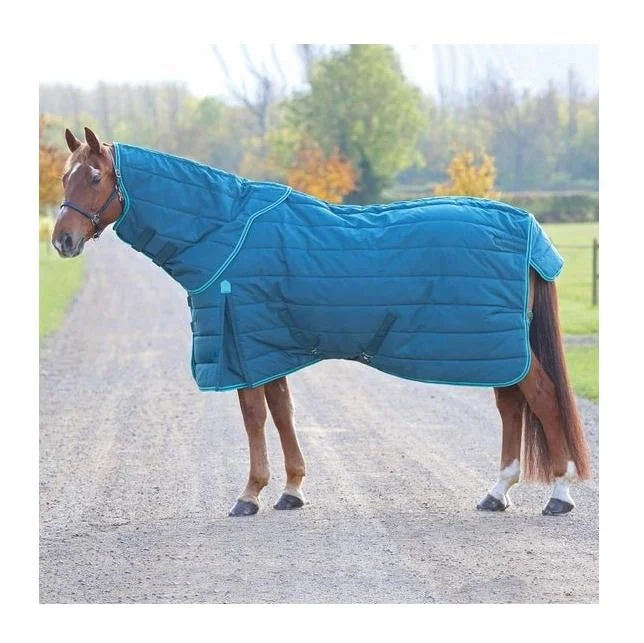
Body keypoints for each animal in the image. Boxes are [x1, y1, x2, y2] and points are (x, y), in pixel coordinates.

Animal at [51, 127, 591, 517]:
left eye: (94, 178)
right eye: (63, 178)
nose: (62, 241)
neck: (227, 231)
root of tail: (526, 225)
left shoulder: (243, 345)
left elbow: (254, 417)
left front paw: (250, 494)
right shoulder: (270, 347)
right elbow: (282, 412)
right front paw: (291, 490)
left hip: (499, 348)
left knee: (542, 399)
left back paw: (559, 495)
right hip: (496, 350)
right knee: (512, 407)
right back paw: (497, 492)